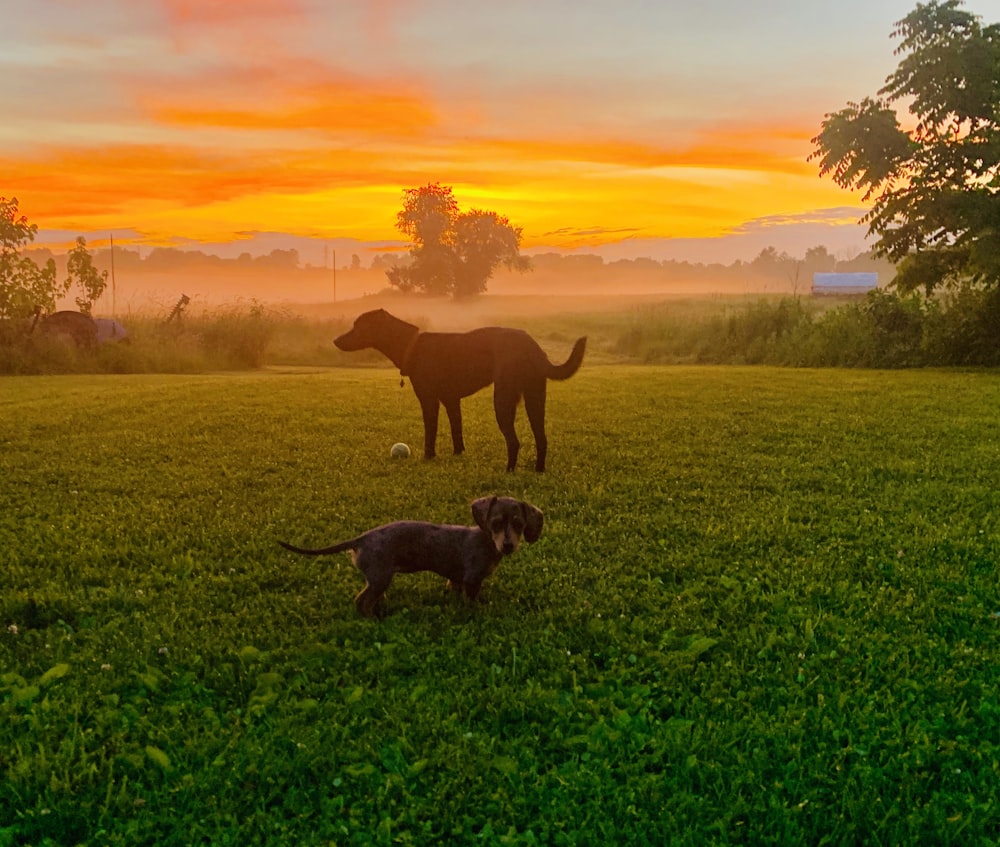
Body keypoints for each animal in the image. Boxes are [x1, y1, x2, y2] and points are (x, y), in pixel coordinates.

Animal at [336, 308, 584, 474]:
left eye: (358, 325)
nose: (335, 340)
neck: (411, 344)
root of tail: (533, 347)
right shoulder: (451, 400)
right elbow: (457, 431)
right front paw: (458, 454)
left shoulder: (429, 400)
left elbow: (430, 432)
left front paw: (428, 457)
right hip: (535, 399)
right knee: (542, 438)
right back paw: (539, 470)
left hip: (503, 401)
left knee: (514, 441)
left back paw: (509, 471)